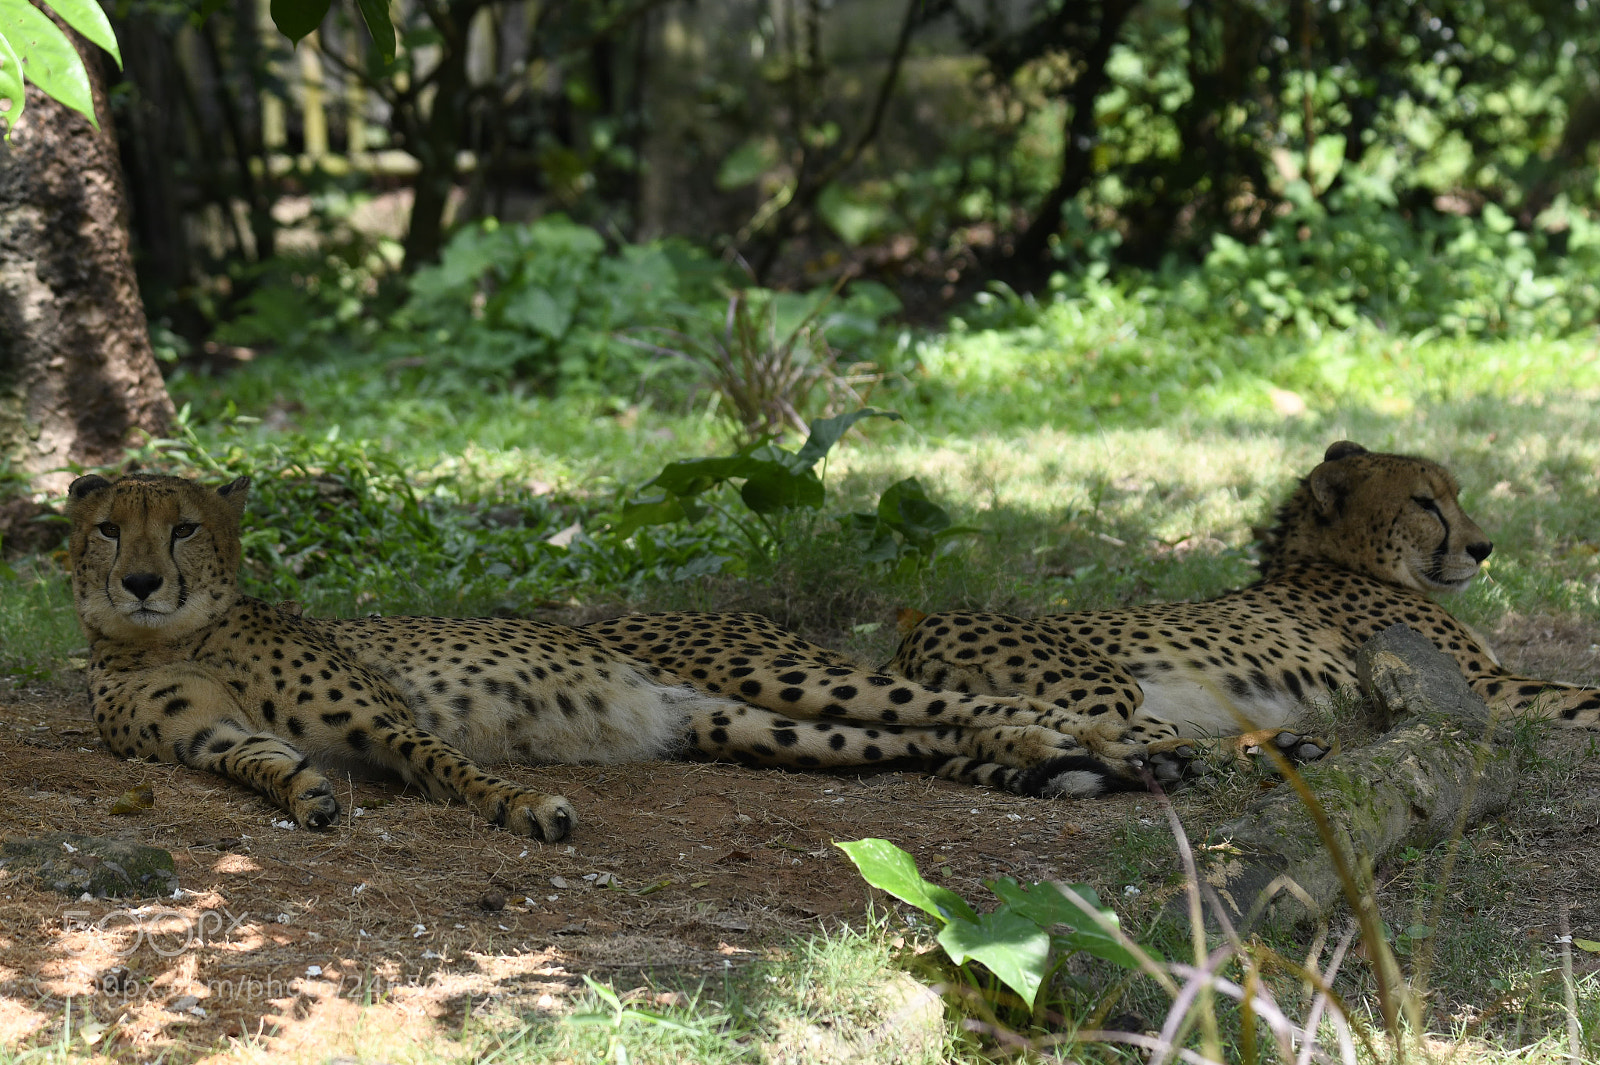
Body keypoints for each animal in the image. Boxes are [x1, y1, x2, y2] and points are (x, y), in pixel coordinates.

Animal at [64, 473, 1195, 842]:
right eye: (110, 530)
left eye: (182, 528)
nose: (141, 582)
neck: (179, 634)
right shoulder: (209, 739)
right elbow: (263, 762)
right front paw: (305, 794)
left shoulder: (382, 716)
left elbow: (450, 765)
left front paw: (527, 808)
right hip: (773, 727)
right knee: (933, 731)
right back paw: (1076, 755)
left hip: (787, 674)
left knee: (969, 702)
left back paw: (1129, 742)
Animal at [888, 441, 1600, 748]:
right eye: (1426, 503)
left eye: (1453, 495)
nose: (1483, 547)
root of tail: (907, 641)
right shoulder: (1479, 687)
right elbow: (1582, 696)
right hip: (1109, 684)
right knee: (1109, 735)